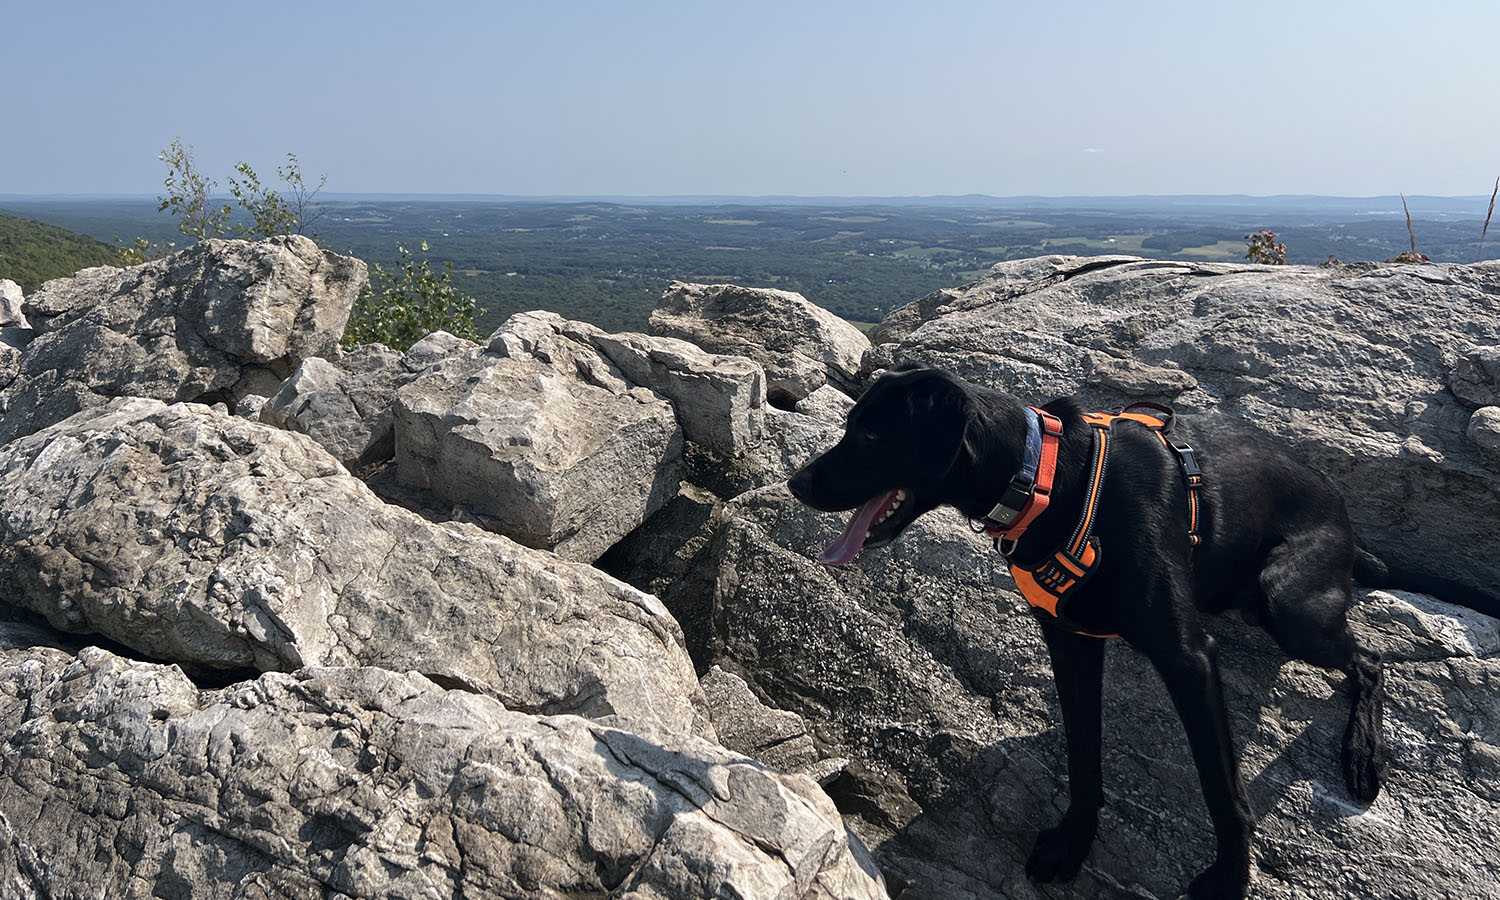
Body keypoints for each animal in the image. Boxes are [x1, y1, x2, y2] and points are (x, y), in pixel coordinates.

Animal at [786, 367, 1380, 900]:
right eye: (851, 425)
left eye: (871, 435)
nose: (796, 483)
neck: (1045, 480)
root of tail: (1345, 515)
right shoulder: (1069, 639)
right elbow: (1082, 752)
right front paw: (1073, 842)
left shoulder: (1187, 659)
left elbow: (1222, 789)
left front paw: (1230, 879)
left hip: (1288, 601)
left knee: (1370, 662)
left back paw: (1361, 755)